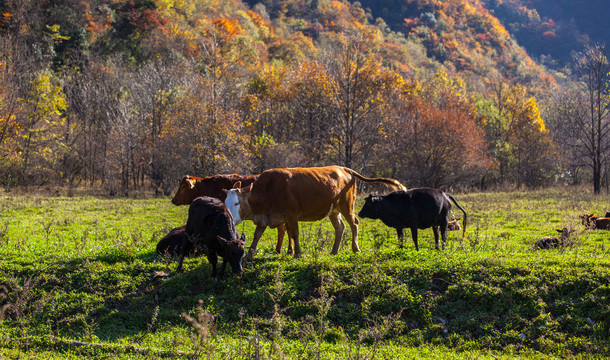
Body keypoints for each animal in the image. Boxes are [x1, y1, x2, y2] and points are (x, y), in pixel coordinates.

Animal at [223, 166, 404, 258]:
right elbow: (257, 235)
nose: (229, 217)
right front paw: (249, 255)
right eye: (225, 202)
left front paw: (297, 254)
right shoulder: (264, 217)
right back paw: (334, 251)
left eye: (237, 203)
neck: (269, 190)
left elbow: (294, 234)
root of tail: (344, 169)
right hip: (334, 211)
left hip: (347, 206)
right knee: (340, 228)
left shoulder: (291, 215)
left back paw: (355, 248)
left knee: (354, 224)